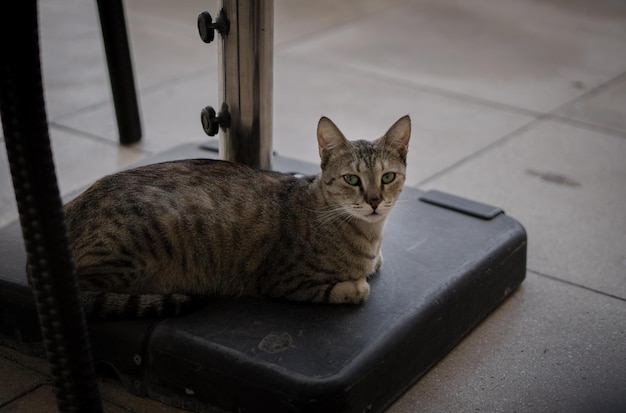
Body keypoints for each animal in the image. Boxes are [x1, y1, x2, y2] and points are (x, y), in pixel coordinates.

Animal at [58, 114, 412, 318]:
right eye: (352, 179)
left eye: (388, 177)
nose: (375, 201)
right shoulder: (283, 280)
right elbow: (347, 289)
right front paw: (355, 287)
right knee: (81, 295)